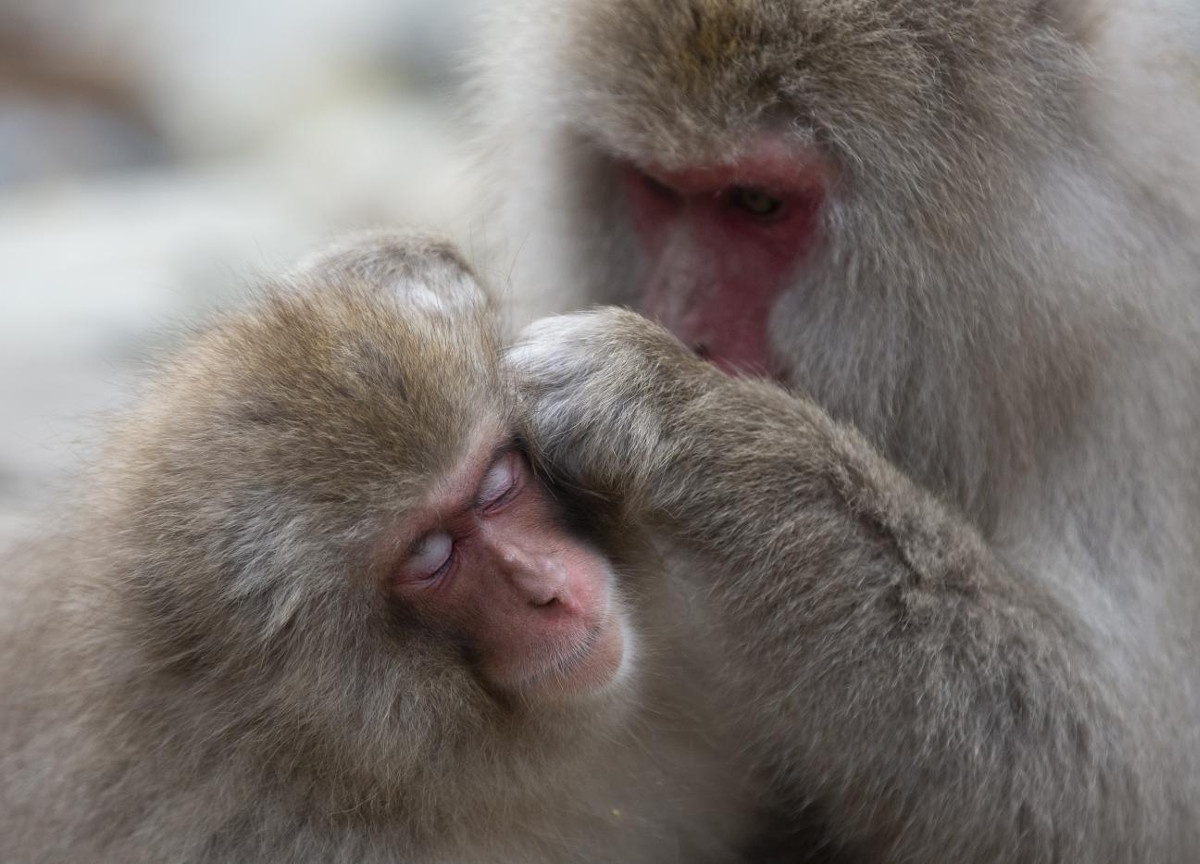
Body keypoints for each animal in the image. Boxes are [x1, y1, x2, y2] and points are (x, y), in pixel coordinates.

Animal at [477, 0, 1200, 859]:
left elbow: (1118, 797)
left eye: (757, 203)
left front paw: (674, 415)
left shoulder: (1144, 362)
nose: (682, 326)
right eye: (657, 187)